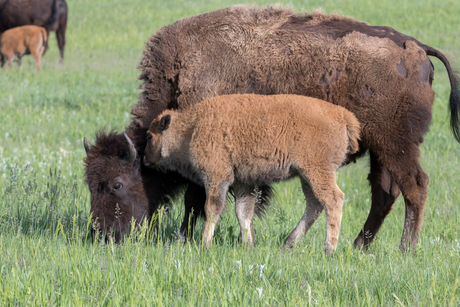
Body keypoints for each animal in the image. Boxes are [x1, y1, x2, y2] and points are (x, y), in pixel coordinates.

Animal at [144, 94, 360, 255]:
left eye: (149, 136)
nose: (144, 159)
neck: (192, 126)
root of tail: (342, 115)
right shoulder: (242, 183)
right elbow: (243, 212)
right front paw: (247, 246)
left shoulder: (217, 178)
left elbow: (212, 209)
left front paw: (205, 244)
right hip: (306, 176)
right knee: (315, 205)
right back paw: (288, 245)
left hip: (317, 171)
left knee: (333, 200)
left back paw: (329, 250)